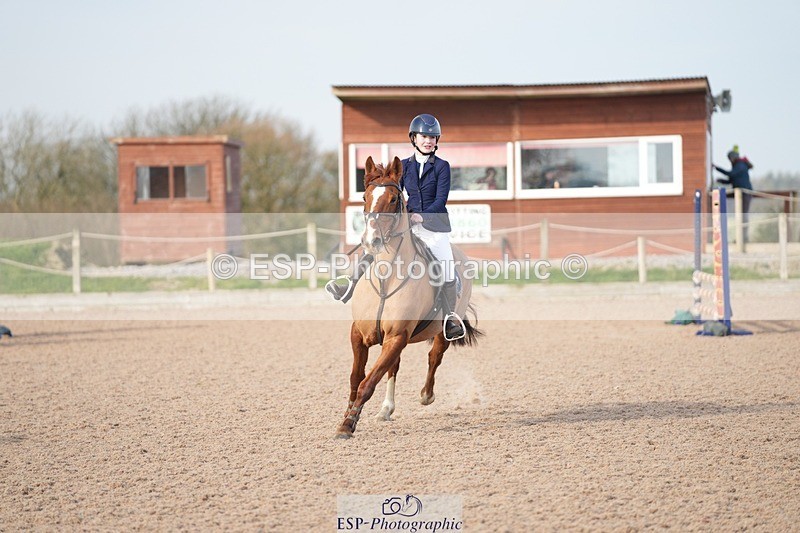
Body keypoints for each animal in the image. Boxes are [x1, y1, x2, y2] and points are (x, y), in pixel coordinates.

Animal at [336, 156, 482, 439]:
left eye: (394, 199)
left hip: (441, 330)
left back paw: (426, 395)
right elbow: (356, 379)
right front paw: (347, 418)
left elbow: (368, 383)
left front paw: (347, 425)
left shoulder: (397, 336)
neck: (387, 276)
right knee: (394, 367)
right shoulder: (360, 334)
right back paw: (386, 409)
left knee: (434, 356)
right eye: (365, 197)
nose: (371, 241)